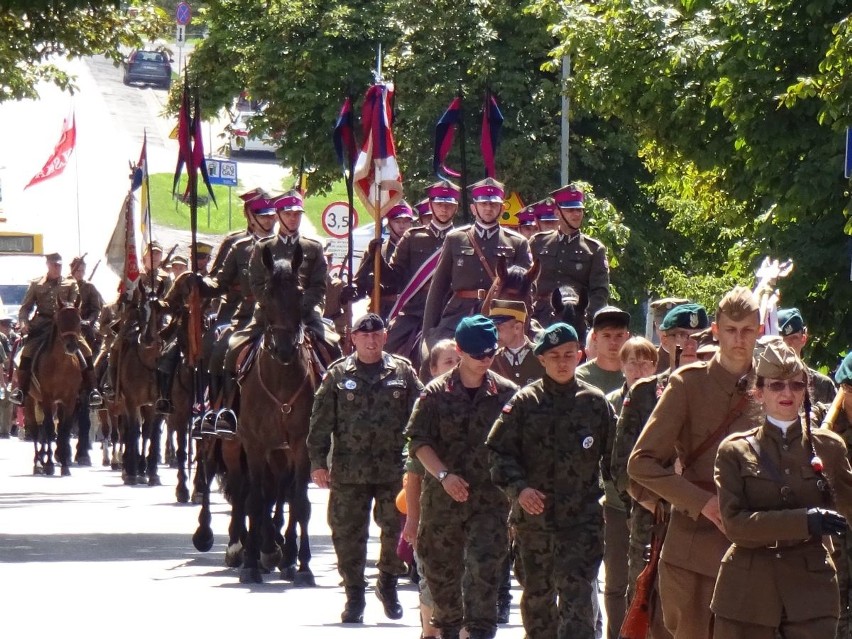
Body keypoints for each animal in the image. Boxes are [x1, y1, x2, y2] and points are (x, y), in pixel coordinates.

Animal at [25, 304, 84, 476]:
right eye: (61, 320)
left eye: (79, 320)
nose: (71, 346)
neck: (62, 364)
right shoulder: (47, 397)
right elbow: (51, 429)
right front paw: (50, 464)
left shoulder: (69, 400)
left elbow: (64, 431)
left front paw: (64, 465)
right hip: (31, 400)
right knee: (36, 430)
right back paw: (38, 463)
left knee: (44, 429)